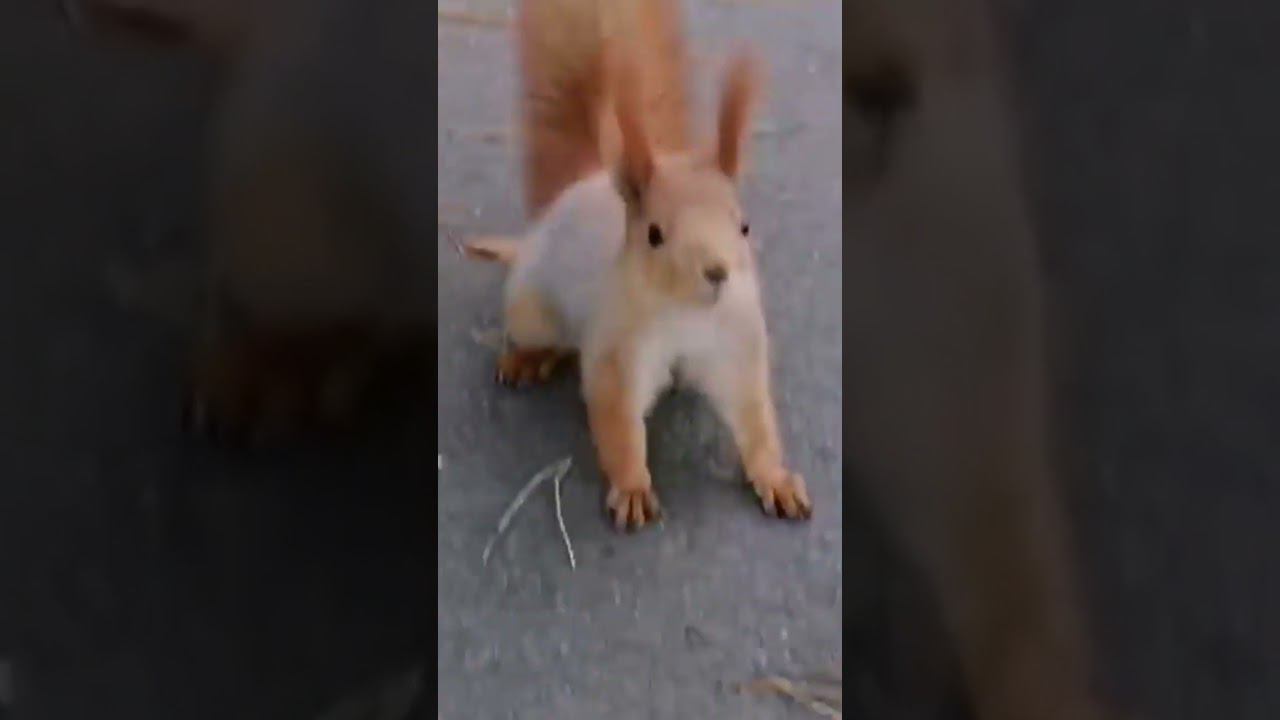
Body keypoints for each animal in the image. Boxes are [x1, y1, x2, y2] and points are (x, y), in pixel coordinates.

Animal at [464, 0, 811, 530]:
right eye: (654, 235)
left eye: (745, 227)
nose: (718, 273)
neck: (687, 313)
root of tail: (580, 183)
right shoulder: (616, 352)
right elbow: (618, 424)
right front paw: (631, 488)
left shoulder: (736, 343)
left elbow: (754, 417)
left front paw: (775, 477)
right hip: (531, 308)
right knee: (551, 340)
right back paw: (529, 358)